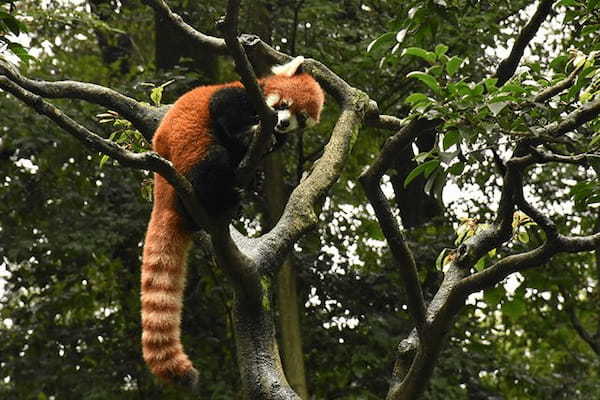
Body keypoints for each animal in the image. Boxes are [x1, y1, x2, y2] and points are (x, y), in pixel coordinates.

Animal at [140, 56, 324, 384]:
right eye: (283, 105)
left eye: (300, 118)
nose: (282, 123)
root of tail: (162, 180)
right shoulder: (240, 93)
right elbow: (223, 110)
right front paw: (249, 134)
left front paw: (260, 164)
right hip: (189, 154)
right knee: (213, 157)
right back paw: (221, 197)